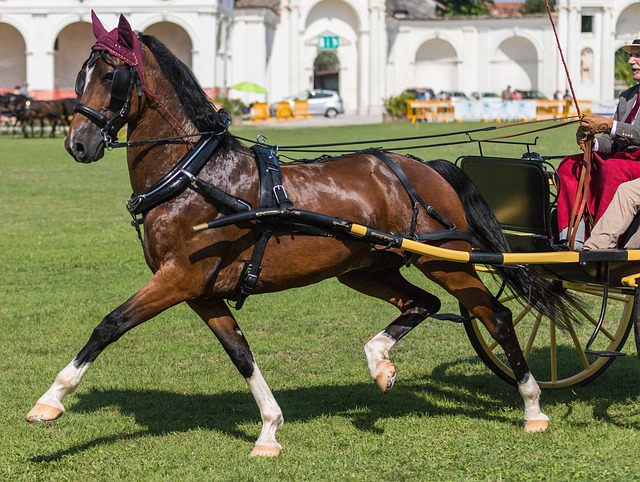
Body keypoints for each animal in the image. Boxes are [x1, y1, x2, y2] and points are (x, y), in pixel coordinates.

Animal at [26, 12, 577, 457]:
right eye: (80, 73)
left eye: (111, 75)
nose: (78, 143)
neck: (195, 175)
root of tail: (421, 166)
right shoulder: (201, 292)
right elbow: (241, 354)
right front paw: (269, 429)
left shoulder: (177, 278)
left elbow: (109, 325)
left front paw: (50, 400)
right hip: (367, 268)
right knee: (423, 303)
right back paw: (379, 362)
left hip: (444, 259)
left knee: (496, 315)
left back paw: (532, 405)